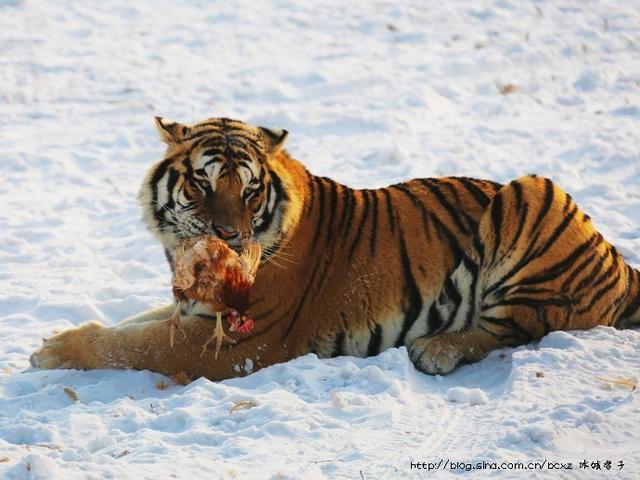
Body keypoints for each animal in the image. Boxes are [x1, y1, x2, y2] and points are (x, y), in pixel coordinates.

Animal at [30, 115, 640, 378]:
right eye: (201, 184)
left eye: (249, 190)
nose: (228, 237)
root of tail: (619, 260)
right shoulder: (196, 309)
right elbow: (136, 324)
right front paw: (57, 339)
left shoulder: (238, 341)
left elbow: (139, 345)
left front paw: (53, 352)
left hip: (532, 192)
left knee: (516, 326)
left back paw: (436, 350)